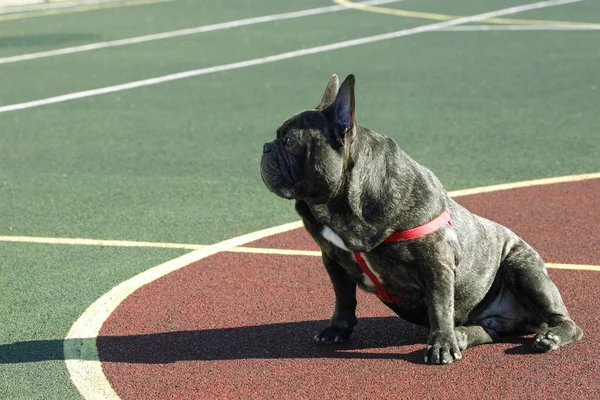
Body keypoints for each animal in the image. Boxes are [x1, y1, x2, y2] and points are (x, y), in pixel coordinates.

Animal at [260, 73, 584, 364]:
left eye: (289, 141)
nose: (265, 147)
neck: (343, 203)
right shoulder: (332, 258)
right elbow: (343, 297)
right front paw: (337, 328)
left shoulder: (436, 260)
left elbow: (440, 306)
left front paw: (440, 346)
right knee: (489, 329)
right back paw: (463, 335)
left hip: (523, 268)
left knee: (568, 323)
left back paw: (548, 336)